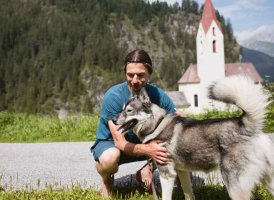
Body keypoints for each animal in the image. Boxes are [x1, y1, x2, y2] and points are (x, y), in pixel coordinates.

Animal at [112, 76, 272, 199]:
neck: (156, 124)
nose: (112, 119)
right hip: (268, 180)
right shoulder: (182, 172)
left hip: (234, 185)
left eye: (129, 110)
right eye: (121, 109)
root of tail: (245, 125)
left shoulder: (167, 174)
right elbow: (189, 194)